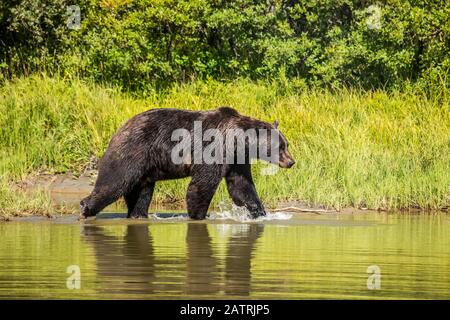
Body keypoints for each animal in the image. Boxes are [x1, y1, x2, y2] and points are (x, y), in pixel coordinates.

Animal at [81, 107, 296, 220]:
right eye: (280, 147)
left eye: (286, 144)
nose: (291, 162)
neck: (238, 140)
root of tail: (123, 126)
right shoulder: (213, 149)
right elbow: (203, 183)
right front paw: (199, 215)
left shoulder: (235, 158)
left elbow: (242, 187)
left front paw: (260, 213)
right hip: (133, 150)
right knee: (116, 181)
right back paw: (86, 207)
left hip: (146, 167)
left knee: (141, 192)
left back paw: (138, 215)